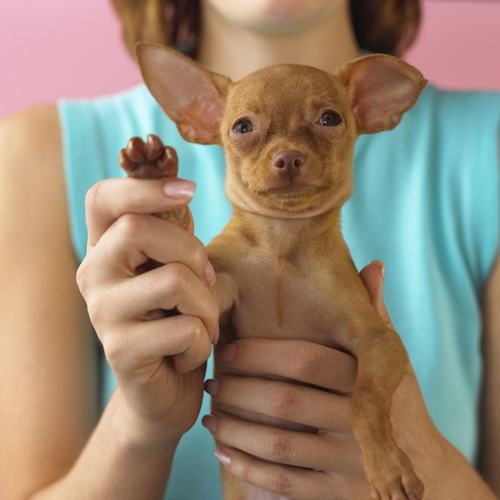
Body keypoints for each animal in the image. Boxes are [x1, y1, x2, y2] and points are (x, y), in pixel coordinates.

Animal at [118, 43, 426, 500]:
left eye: (330, 119)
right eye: (243, 127)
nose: (288, 158)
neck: (283, 242)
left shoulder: (377, 341)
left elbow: (365, 402)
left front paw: (387, 466)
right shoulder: (208, 297)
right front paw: (154, 177)